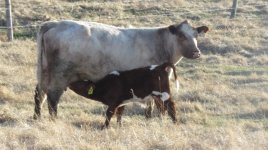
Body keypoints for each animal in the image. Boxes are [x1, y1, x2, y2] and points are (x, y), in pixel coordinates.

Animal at [34, 19, 209, 119]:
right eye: (181, 36)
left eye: (196, 35)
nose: (196, 52)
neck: (160, 43)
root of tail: (53, 24)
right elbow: (155, 107)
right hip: (59, 77)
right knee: (52, 100)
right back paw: (54, 120)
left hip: (43, 73)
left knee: (39, 95)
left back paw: (37, 118)